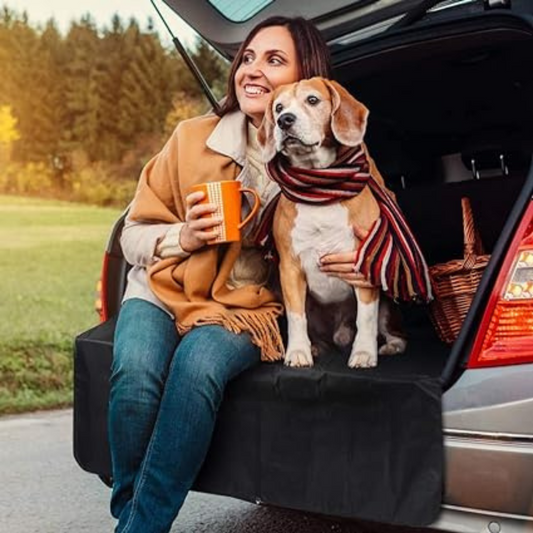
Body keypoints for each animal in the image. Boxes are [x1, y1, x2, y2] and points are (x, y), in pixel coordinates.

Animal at [256, 77, 406, 368]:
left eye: (312, 100)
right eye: (278, 107)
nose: (284, 120)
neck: (319, 189)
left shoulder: (362, 264)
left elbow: (366, 318)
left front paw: (364, 353)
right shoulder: (290, 269)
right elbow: (296, 317)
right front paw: (298, 352)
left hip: (386, 305)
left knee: (387, 328)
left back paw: (391, 345)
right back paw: (316, 346)